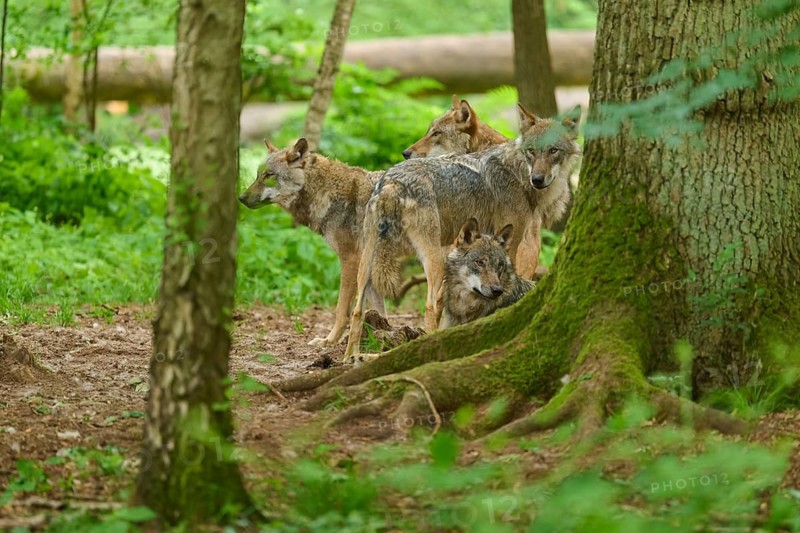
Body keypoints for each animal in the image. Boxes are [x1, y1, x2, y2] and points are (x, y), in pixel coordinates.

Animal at [239, 138, 389, 348]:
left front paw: (329, 341)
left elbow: (341, 310)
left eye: (269, 175)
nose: (241, 198)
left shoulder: (351, 259)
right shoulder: (367, 263)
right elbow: (380, 312)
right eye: (258, 174)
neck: (327, 193)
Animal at [344, 104, 581, 356]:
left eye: (553, 150)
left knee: (357, 310)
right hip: (433, 258)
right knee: (429, 305)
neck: (517, 172)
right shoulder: (515, 242)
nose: (537, 179)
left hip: (368, 259)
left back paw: (351, 356)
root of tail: (392, 181)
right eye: (531, 152)